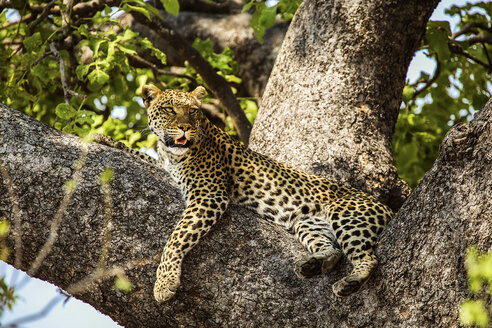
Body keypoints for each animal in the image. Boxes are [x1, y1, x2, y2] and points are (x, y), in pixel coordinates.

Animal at [97, 84, 396, 302]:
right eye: (170, 109)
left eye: (192, 111)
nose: (185, 128)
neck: (172, 154)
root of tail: (387, 207)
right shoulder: (165, 167)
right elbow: (140, 155)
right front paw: (106, 140)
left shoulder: (208, 196)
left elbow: (176, 238)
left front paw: (164, 283)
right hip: (308, 222)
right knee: (332, 250)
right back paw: (311, 266)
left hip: (348, 216)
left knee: (367, 257)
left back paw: (350, 283)